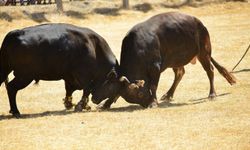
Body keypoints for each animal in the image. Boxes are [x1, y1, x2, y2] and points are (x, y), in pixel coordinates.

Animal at [92, 11, 236, 108]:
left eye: (139, 95)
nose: (145, 104)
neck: (139, 47)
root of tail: (199, 23)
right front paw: (105, 104)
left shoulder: (155, 68)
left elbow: (153, 85)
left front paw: (153, 102)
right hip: (176, 59)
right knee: (180, 73)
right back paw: (168, 95)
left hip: (204, 52)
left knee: (210, 70)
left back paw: (212, 94)